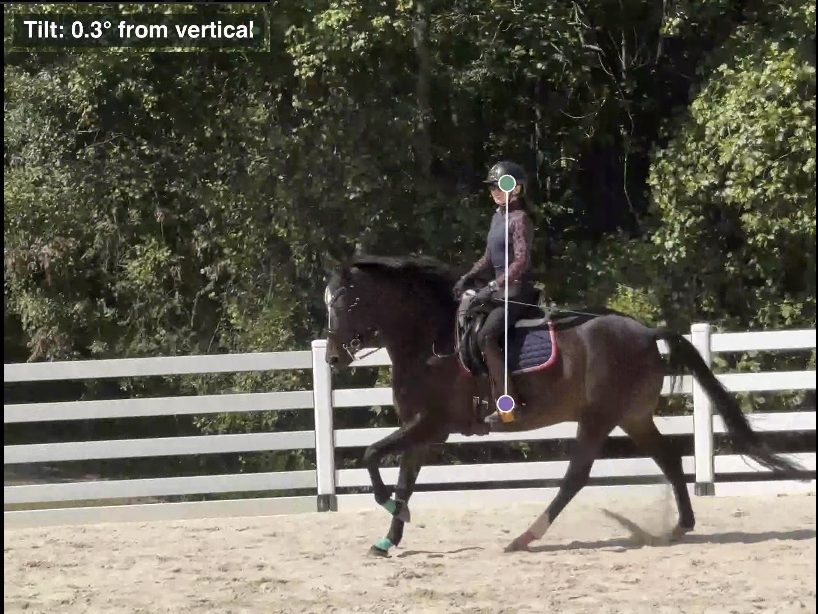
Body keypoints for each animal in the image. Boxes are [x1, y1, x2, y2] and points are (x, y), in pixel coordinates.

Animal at [323, 254, 803, 556]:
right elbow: (404, 477)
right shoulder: (421, 430)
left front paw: (390, 508)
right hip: (632, 417)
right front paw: (388, 536)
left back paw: (525, 537)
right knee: (667, 457)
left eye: (347, 301)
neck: (431, 341)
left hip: (597, 418)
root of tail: (647, 332)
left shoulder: (432, 424)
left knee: (576, 476)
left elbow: (370, 456)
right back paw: (681, 525)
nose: (331, 358)